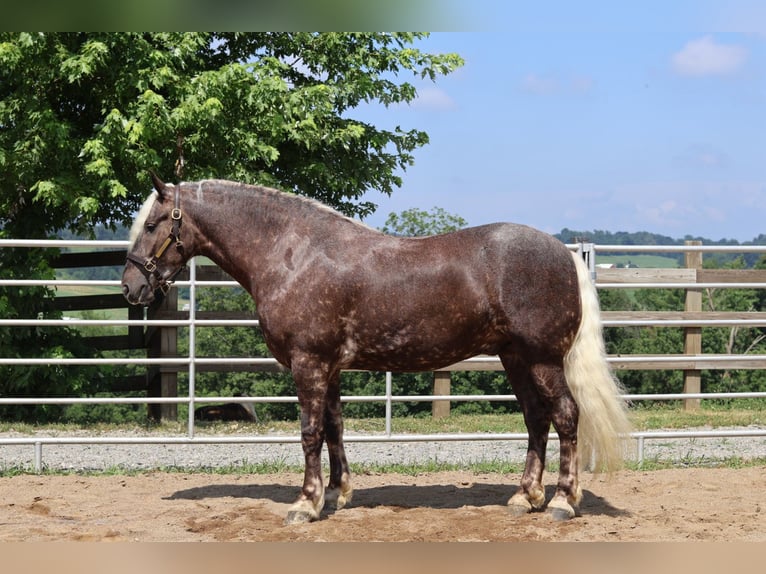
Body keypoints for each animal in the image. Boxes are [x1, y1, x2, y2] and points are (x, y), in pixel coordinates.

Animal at [122, 174, 631, 524]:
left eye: (152, 224)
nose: (130, 288)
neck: (292, 253)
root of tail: (564, 253)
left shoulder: (308, 364)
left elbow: (309, 433)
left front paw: (304, 504)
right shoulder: (328, 368)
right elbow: (333, 428)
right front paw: (334, 494)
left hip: (542, 359)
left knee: (565, 417)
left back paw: (562, 502)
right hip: (516, 359)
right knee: (536, 420)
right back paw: (525, 496)